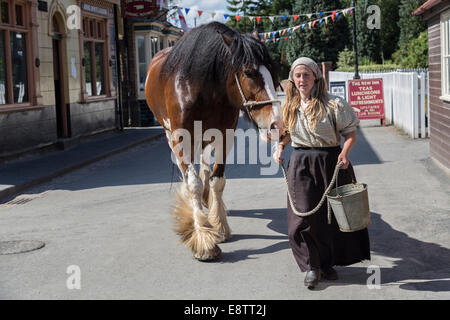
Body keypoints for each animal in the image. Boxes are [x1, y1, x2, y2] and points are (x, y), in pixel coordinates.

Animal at [145, 23, 284, 262]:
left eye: (272, 72)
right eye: (249, 72)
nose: (276, 124)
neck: (203, 89)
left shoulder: (224, 135)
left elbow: (217, 180)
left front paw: (219, 225)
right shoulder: (180, 138)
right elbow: (192, 183)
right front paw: (203, 238)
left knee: (205, 167)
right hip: (170, 134)